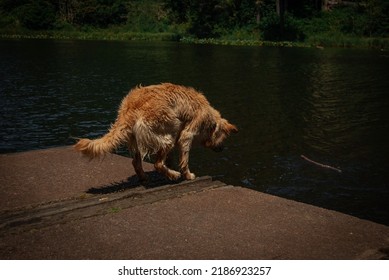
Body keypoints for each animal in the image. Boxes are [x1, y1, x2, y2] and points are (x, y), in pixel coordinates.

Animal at [73, 82, 236, 182]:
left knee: (137, 162)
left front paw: (171, 165)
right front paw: (187, 175)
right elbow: (184, 159)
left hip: (137, 138)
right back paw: (173, 175)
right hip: (168, 134)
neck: (209, 117)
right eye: (224, 138)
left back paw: (145, 177)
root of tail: (129, 109)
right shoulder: (186, 135)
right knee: (157, 163)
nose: (222, 149)